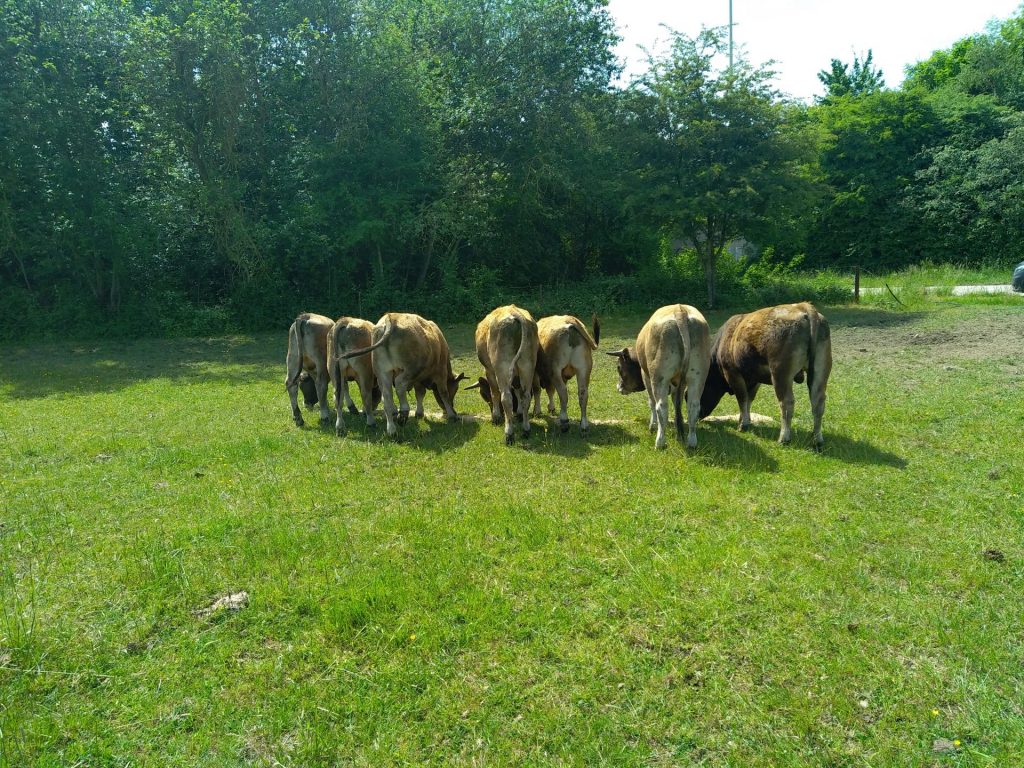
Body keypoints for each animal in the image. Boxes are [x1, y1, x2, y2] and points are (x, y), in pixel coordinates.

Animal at [468, 303, 540, 444]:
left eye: (483, 394)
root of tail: (514, 312)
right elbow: (518, 392)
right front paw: (518, 413)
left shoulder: (489, 371)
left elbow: (494, 392)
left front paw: (496, 417)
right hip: (527, 366)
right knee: (526, 396)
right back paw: (526, 429)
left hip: (502, 368)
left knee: (506, 397)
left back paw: (509, 434)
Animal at [606, 305, 712, 450]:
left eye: (619, 367)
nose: (619, 387)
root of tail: (680, 309)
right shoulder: (680, 385)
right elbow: (677, 404)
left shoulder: (646, 377)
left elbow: (651, 402)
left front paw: (653, 426)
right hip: (697, 377)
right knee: (693, 406)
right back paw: (691, 442)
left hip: (659, 378)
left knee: (661, 406)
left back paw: (660, 442)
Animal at [696, 301, 831, 444]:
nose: (698, 415)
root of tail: (802, 306)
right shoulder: (755, 379)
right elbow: (749, 399)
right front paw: (746, 421)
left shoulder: (732, 374)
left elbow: (742, 398)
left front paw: (743, 424)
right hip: (820, 371)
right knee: (818, 402)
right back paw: (817, 439)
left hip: (780, 374)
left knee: (787, 403)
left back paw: (784, 438)